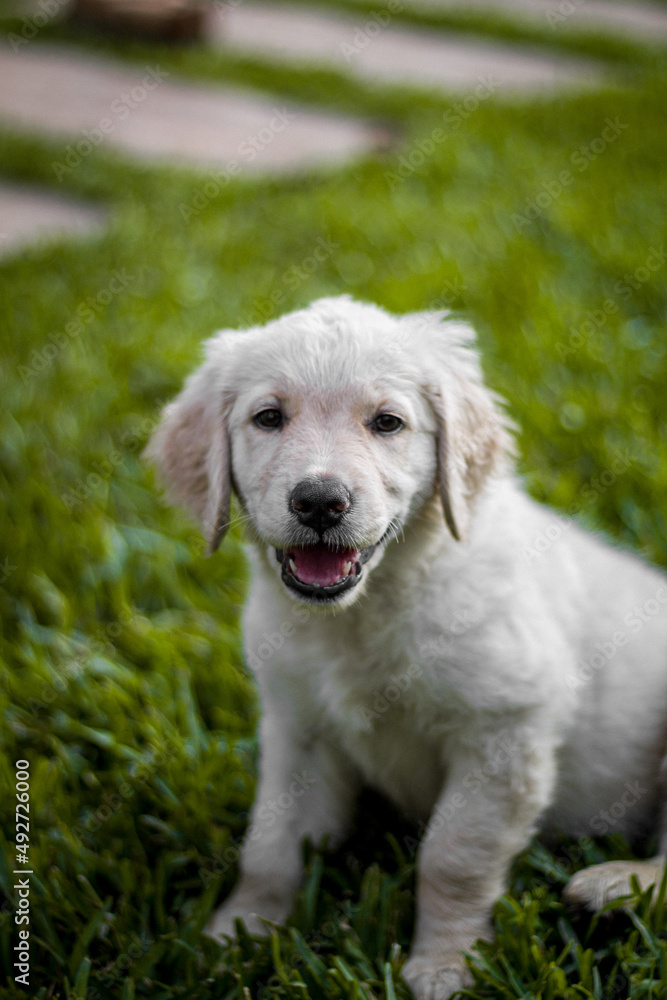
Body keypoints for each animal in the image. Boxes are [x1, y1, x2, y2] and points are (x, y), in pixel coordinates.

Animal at [146, 296, 667, 1000]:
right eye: (269, 417)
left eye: (387, 423)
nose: (320, 501)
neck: (365, 612)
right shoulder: (298, 728)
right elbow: (271, 845)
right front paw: (239, 933)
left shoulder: (503, 731)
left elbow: (453, 856)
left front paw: (444, 965)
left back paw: (614, 885)